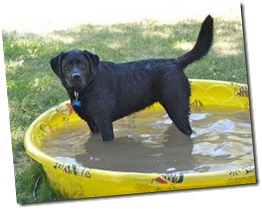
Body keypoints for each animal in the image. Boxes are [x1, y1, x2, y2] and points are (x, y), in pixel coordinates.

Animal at [50, 15, 213, 141]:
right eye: (66, 66)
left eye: (83, 65)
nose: (76, 76)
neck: (88, 87)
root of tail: (175, 61)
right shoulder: (92, 124)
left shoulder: (104, 122)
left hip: (177, 108)